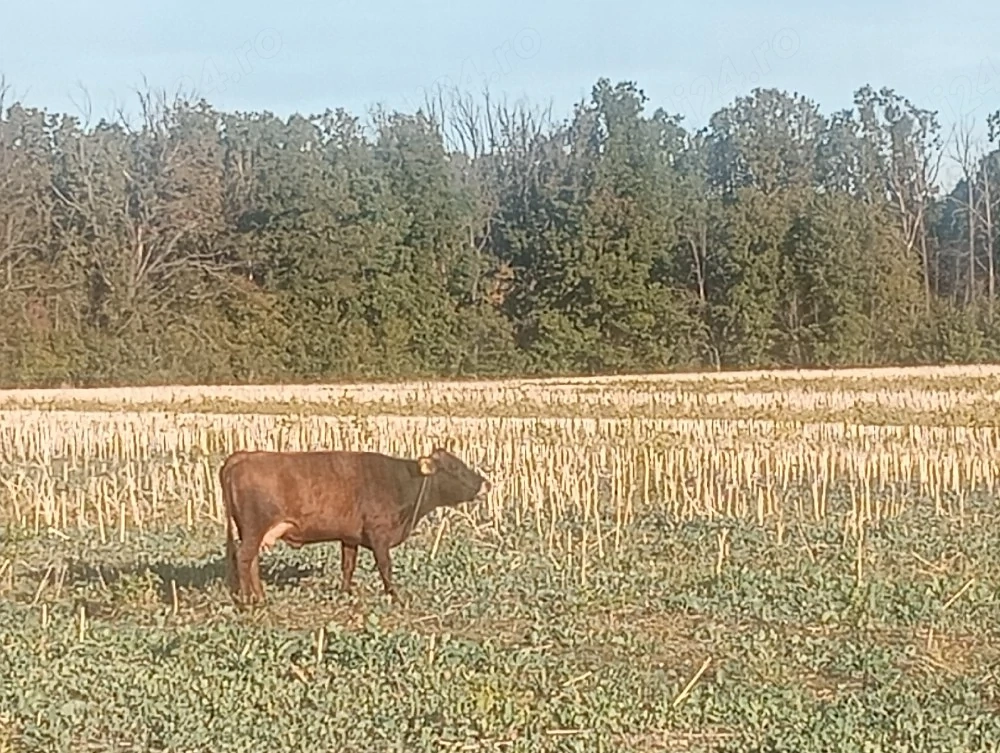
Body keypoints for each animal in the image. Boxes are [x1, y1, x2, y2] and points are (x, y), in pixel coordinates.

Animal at [218, 446, 491, 605]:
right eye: (454, 467)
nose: (486, 483)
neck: (399, 481)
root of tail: (244, 455)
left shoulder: (349, 537)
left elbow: (348, 566)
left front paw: (345, 593)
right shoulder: (379, 535)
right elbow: (385, 567)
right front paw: (395, 596)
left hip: (252, 531)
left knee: (251, 560)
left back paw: (260, 597)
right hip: (254, 529)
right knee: (244, 558)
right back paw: (249, 601)